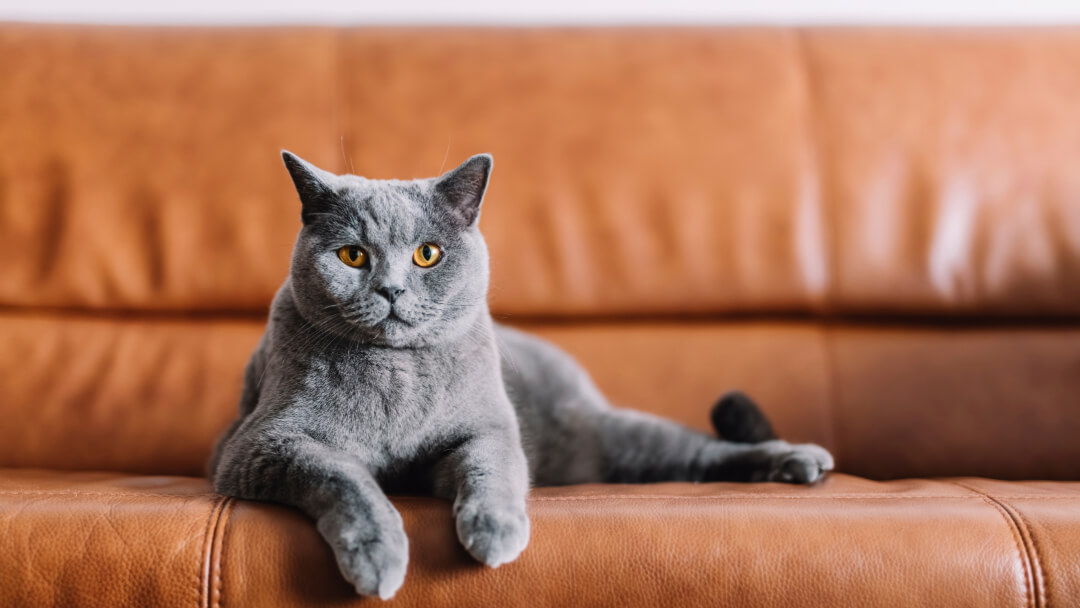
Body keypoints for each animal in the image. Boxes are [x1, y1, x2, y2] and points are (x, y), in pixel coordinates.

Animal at [210, 152, 833, 600]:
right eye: (353, 256)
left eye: (428, 254)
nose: (391, 289)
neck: (398, 373)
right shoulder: (263, 443)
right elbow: (343, 477)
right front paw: (377, 555)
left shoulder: (486, 427)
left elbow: (492, 465)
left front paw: (495, 530)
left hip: (614, 436)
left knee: (701, 450)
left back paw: (800, 461)